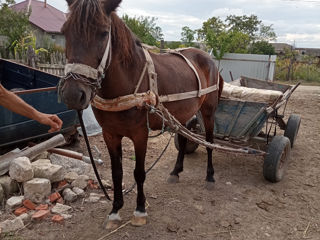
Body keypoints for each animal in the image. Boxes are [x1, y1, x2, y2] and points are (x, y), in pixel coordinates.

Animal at [60, 0, 222, 229]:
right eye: (64, 31)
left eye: (103, 33)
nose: (73, 95)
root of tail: (207, 56)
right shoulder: (110, 134)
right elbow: (117, 173)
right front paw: (115, 210)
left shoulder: (140, 135)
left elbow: (138, 172)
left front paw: (140, 210)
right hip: (182, 115)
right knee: (183, 139)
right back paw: (176, 171)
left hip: (208, 111)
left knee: (209, 141)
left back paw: (209, 177)